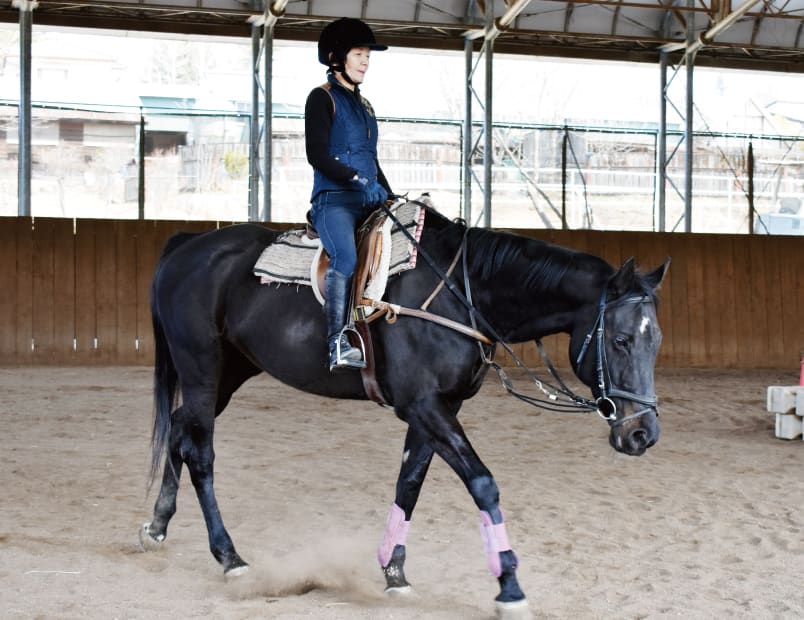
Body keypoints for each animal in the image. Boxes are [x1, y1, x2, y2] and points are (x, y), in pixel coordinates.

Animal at [139, 197, 669, 618]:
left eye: (656, 340)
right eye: (621, 340)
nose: (642, 434)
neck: (463, 295)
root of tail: (187, 245)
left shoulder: (436, 408)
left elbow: (409, 483)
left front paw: (394, 572)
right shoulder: (425, 406)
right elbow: (483, 484)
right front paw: (509, 585)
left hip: (229, 373)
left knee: (181, 431)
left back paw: (157, 526)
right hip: (202, 370)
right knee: (200, 452)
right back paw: (229, 557)